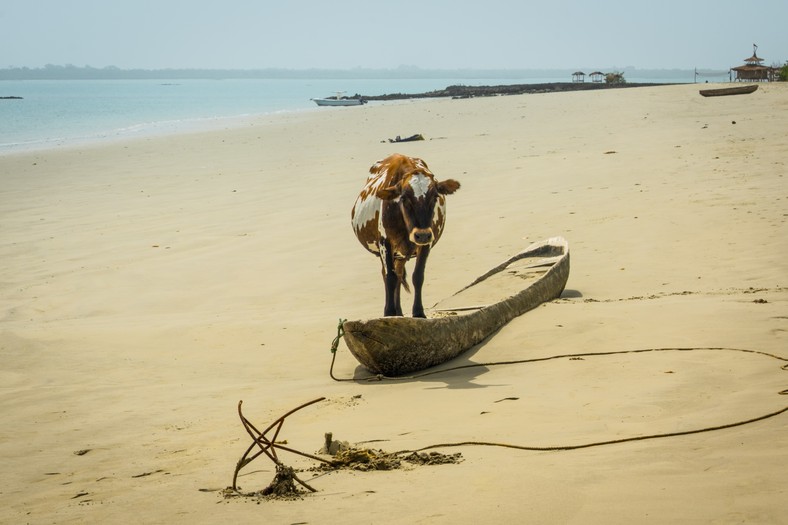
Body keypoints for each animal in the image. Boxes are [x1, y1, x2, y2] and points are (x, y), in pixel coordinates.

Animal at [352, 151, 462, 316]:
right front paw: (389, 313)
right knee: (388, 275)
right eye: (403, 198)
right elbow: (389, 277)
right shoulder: (385, 242)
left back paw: (399, 311)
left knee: (399, 275)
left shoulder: (427, 241)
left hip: (402, 254)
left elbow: (418, 276)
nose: (421, 235)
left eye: (435, 196)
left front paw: (418, 312)